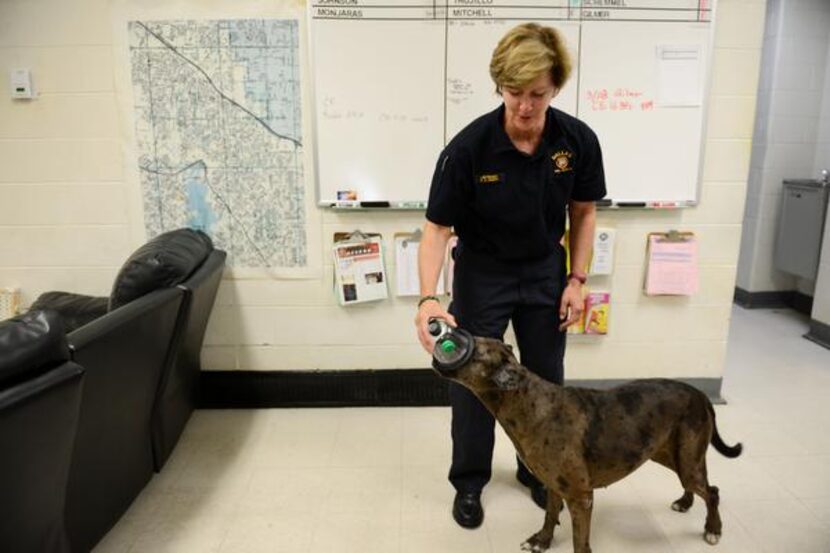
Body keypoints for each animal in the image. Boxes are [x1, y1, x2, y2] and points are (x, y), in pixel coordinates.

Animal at [436, 336, 748, 552]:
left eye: (474, 351)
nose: (441, 334)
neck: (527, 402)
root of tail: (700, 394)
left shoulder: (581, 497)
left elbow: (579, 541)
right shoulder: (553, 486)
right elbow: (550, 515)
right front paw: (542, 541)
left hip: (686, 460)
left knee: (713, 492)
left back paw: (713, 528)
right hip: (673, 455)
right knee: (699, 485)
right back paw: (685, 503)